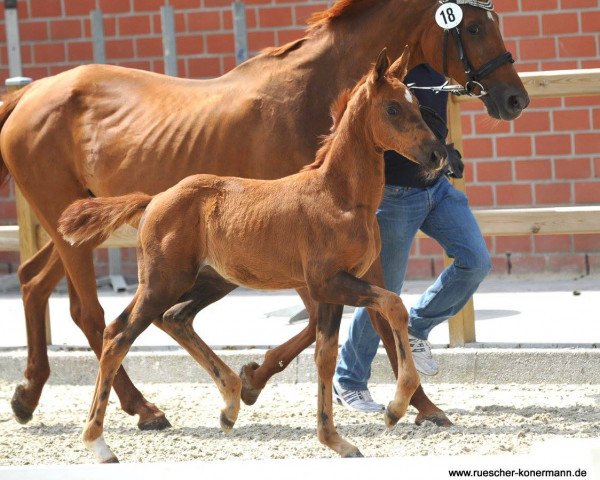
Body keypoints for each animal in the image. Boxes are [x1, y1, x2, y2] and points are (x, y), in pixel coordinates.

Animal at [59, 49, 446, 462]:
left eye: (417, 104)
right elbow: (394, 306)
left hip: (206, 281)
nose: (437, 153)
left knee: (171, 318)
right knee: (120, 337)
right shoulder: (329, 282)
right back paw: (99, 443)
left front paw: (335, 440)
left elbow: (324, 358)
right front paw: (395, 408)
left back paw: (230, 402)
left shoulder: (331, 291)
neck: (339, 197)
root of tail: (153, 200)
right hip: (164, 282)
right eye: (392, 108)